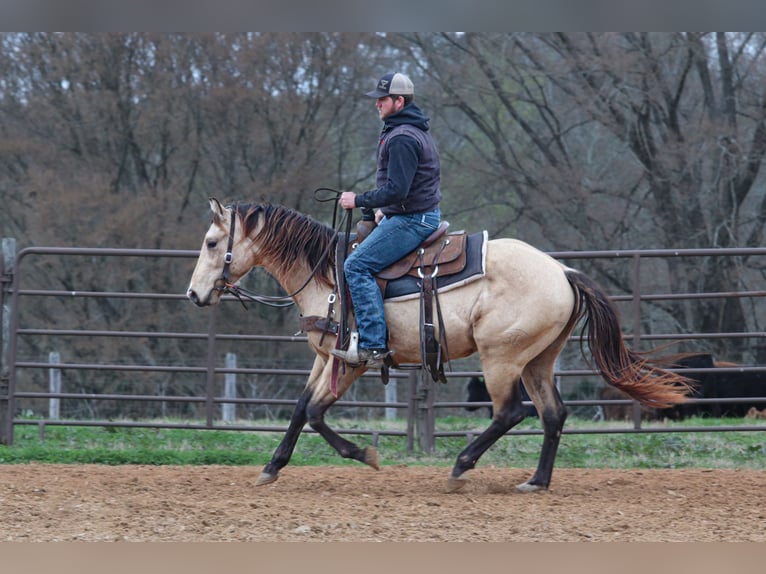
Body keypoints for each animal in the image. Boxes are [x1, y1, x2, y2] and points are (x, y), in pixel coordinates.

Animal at [186, 199, 688, 496]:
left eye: (211, 242)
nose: (193, 294)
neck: (329, 274)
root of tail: (563, 271)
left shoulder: (352, 361)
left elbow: (314, 411)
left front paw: (364, 454)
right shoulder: (326, 356)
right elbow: (300, 408)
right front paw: (272, 466)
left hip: (501, 358)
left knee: (511, 412)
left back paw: (461, 466)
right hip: (538, 360)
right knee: (553, 414)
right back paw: (536, 481)